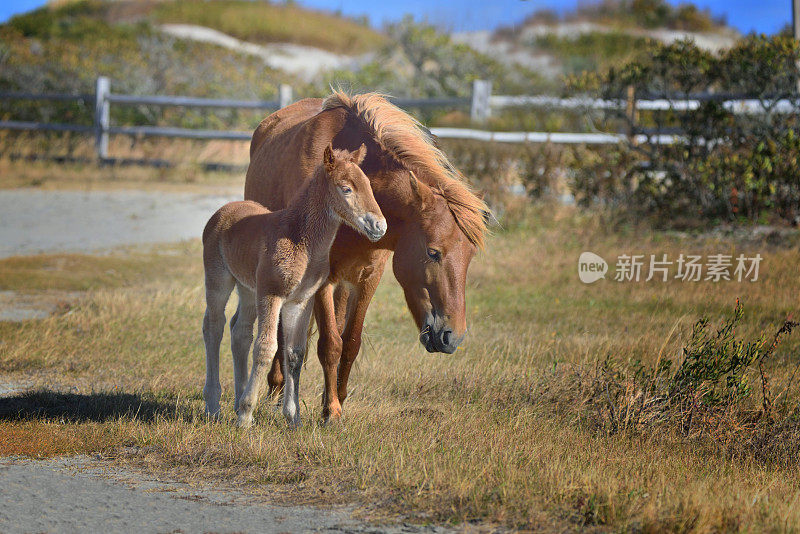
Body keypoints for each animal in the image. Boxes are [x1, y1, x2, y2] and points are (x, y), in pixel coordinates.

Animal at [202, 144, 386, 430]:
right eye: (346, 188)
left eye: (368, 184)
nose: (379, 226)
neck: (300, 238)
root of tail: (224, 210)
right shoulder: (272, 294)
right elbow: (266, 348)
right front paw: (246, 416)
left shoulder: (300, 301)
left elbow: (295, 353)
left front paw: (293, 417)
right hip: (218, 279)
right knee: (214, 325)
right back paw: (214, 405)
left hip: (248, 289)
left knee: (239, 330)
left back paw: (236, 400)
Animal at [242, 90, 488, 420]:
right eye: (433, 252)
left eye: (470, 256)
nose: (453, 336)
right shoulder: (322, 280)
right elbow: (330, 344)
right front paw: (331, 411)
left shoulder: (366, 279)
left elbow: (350, 343)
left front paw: (336, 400)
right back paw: (277, 388)